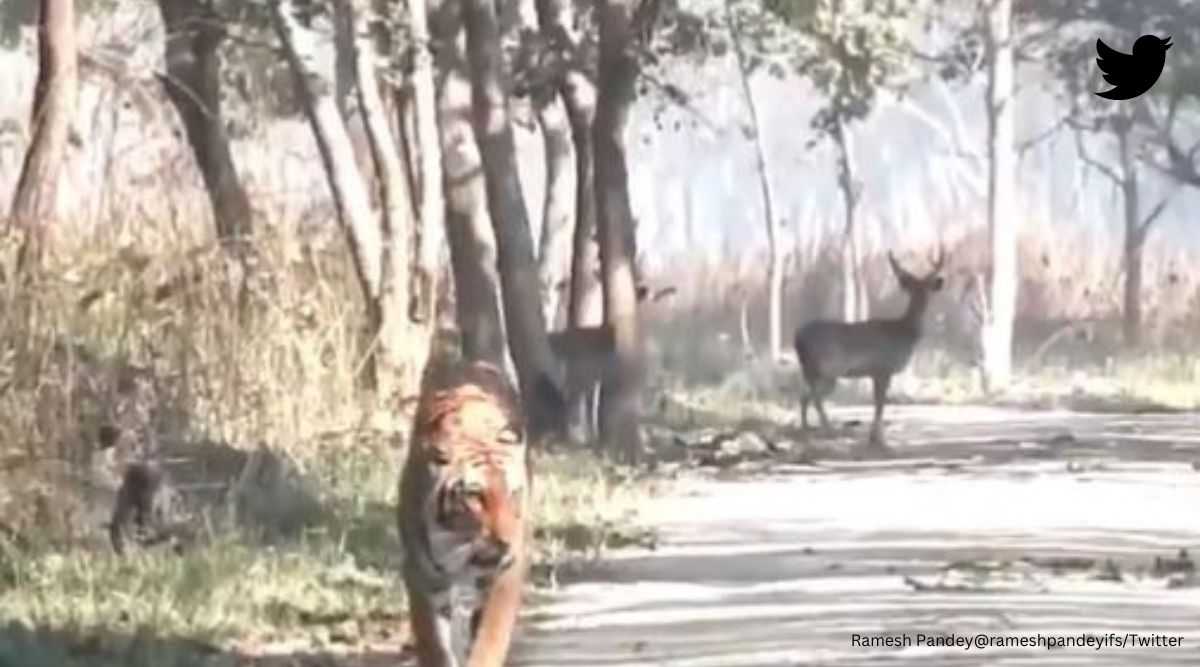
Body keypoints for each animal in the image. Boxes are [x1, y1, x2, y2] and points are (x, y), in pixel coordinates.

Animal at [398, 359, 532, 667]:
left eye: (513, 493)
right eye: (474, 495)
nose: (504, 541)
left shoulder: (507, 571)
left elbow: (490, 637)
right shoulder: (422, 575)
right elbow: (434, 643)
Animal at [794, 247, 946, 446]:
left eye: (925, 287)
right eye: (915, 287)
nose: (924, 297)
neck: (904, 332)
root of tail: (797, 339)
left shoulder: (876, 372)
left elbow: (878, 402)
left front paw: (875, 436)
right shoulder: (883, 368)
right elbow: (880, 403)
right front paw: (878, 438)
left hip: (815, 371)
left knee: (804, 397)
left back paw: (807, 432)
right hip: (828, 369)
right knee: (814, 398)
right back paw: (829, 432)